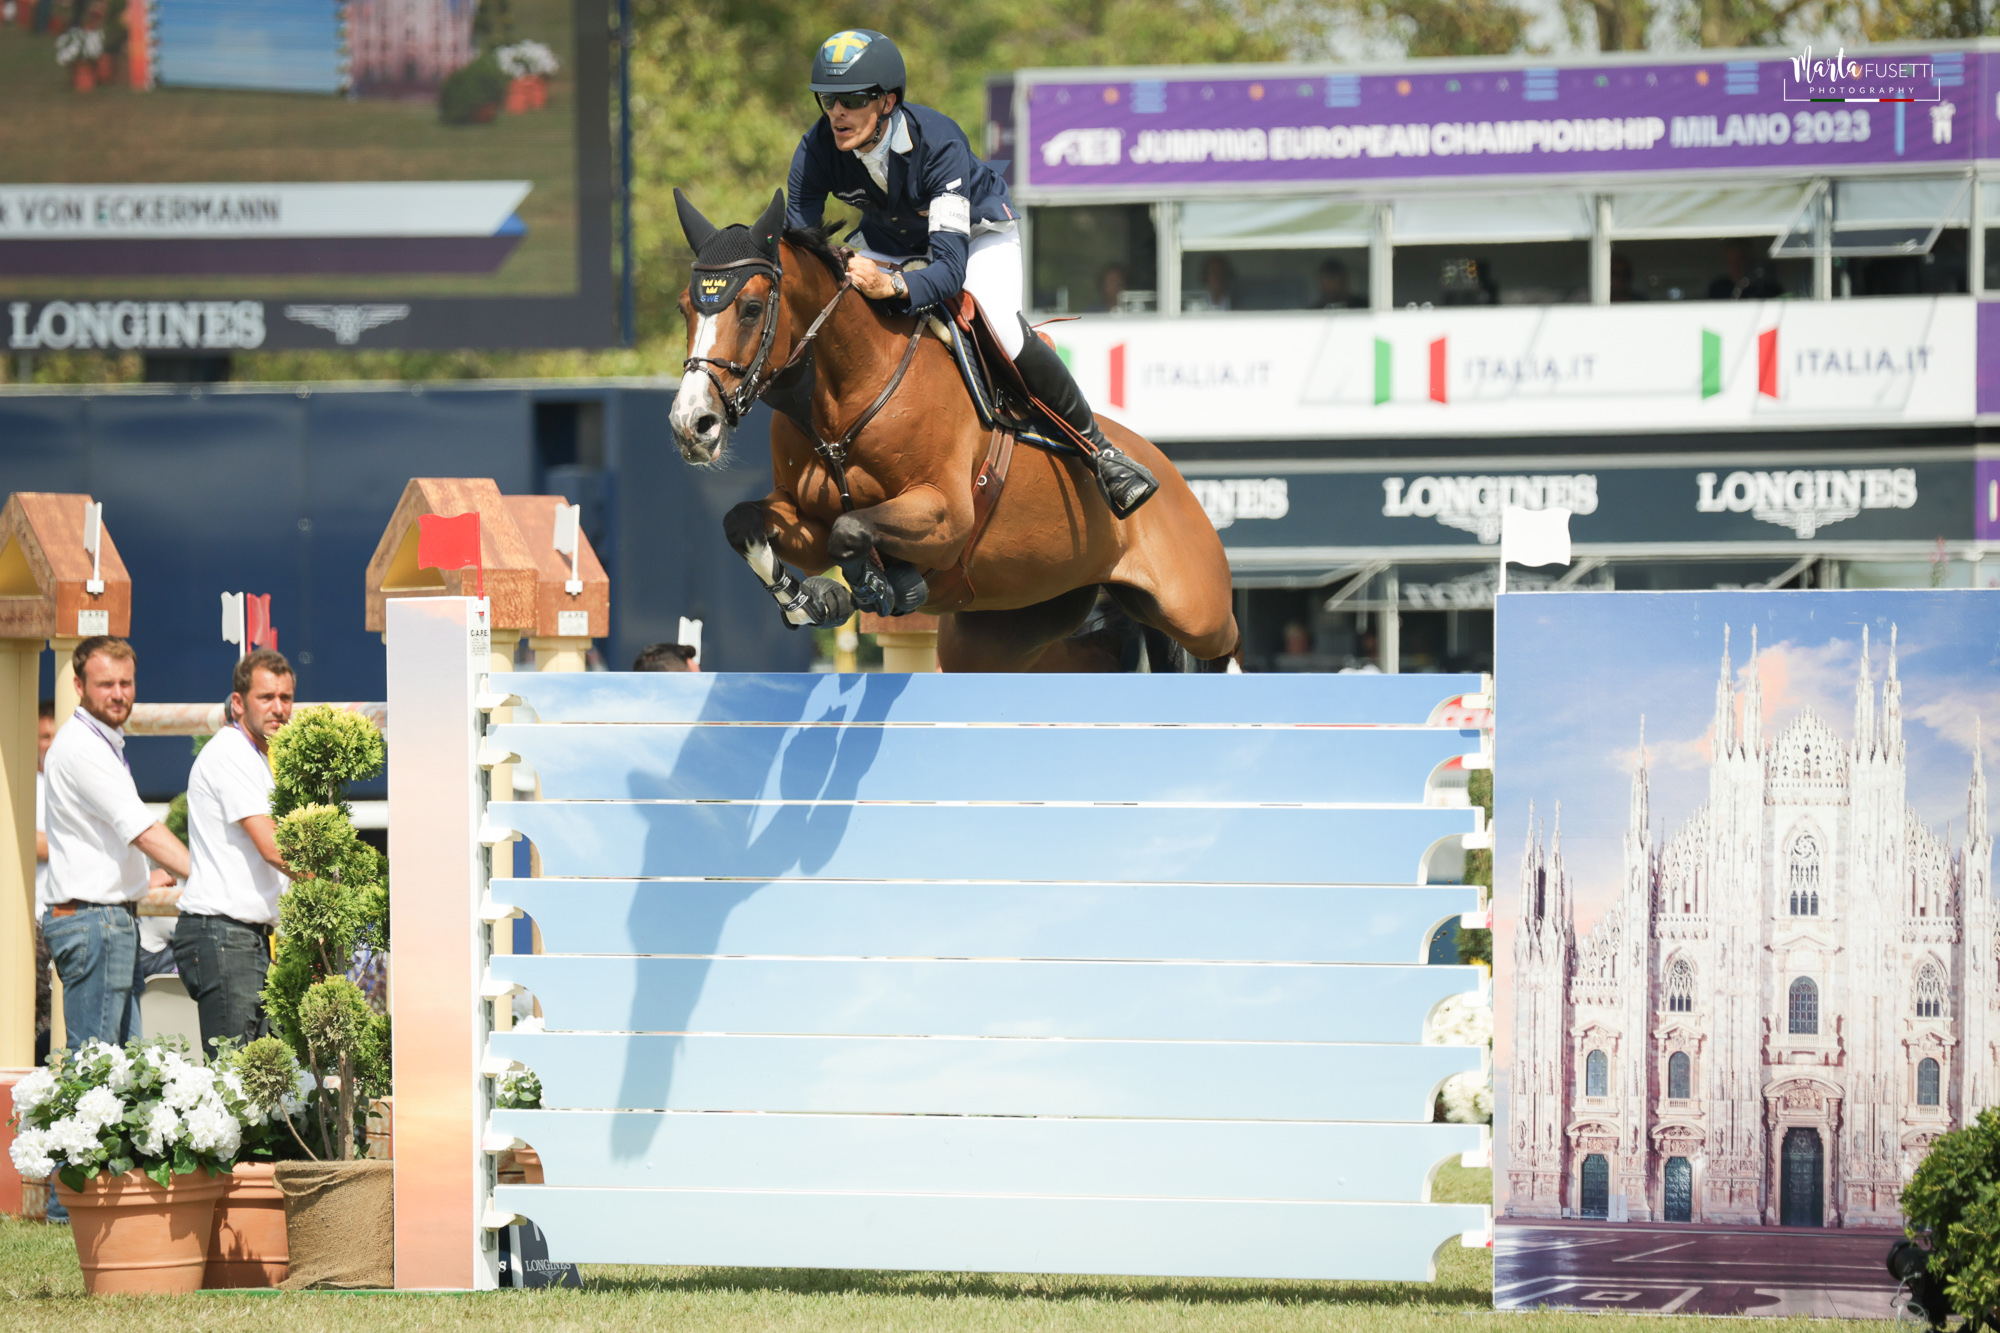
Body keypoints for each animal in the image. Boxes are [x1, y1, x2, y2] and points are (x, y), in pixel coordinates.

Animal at [668, 192, 1232, 668]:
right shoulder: (805, 519)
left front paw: (882, 585)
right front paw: (814, 601)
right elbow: (746, 522)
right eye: (685, 307)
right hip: (1009, 627)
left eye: (750, 309)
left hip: (1194, 609)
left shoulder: (946, 513)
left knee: (1224, 647)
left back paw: (1120, 475)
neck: (842, 399)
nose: (691, 425)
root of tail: (1172, 473)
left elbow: (852, 531)